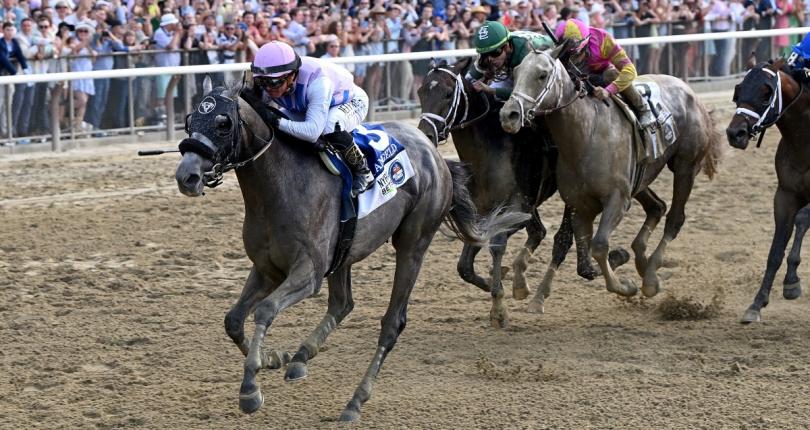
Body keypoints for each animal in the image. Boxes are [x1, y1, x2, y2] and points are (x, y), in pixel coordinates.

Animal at [172, 79, 524, 422]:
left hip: (413, 243)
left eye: (223, 122)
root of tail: (435, 155)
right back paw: (300, 358)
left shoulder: (308, 273)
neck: (280, 187)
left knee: (392, 323)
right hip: (345, 251)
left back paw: (354, 402)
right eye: (189, 120)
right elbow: (233, 320)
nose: (186, 176)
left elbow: (265, 310)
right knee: (343, 303)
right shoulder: (267, 268)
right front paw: (273, 358)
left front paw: (250, 391)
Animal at [498, 42, 720, 300]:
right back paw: (642, 262)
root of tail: (688, 90)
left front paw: (625, 286)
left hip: (686, 166)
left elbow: (600, 246)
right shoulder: (580, 205)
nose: (508, 115)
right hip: (640, 178)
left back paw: (651, 276)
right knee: (657, 207)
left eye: (542, 75)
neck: (586, 135)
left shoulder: (617, 199)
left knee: (675, 219)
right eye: (515, 74)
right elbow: (586, 253)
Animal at [724, 58, 808, 324]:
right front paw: (757, 303)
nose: (735, 133)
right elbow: (775, 251)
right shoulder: (785, 195)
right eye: (738, 90)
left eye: (766, 93)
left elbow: (801, 220)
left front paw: (791, 281)